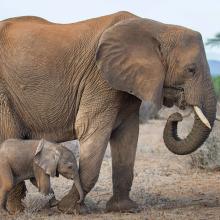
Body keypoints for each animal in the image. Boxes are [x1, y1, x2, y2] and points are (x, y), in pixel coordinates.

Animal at [0, 11, 217, 212]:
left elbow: (127, 136)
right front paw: (68, 208)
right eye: (191, 70)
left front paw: (125, 209)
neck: (159, 28)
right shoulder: (100, 80)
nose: (177, 116)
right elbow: (91, 130)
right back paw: (18, 211)